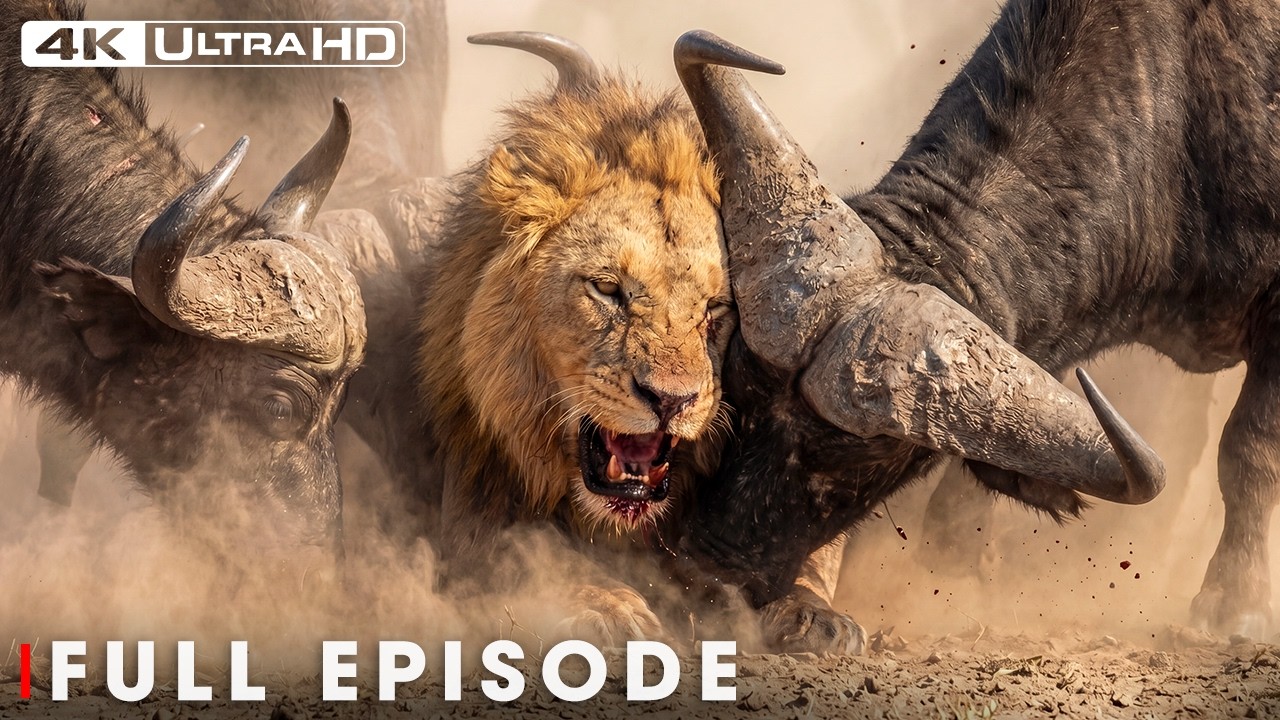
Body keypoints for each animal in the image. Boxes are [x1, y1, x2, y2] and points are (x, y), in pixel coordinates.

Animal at [414, 33, 734, 642]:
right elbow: (526, 560)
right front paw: (610, 606)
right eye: (607, 288)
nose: (671, 401)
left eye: (715, 309)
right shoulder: (465, 523)